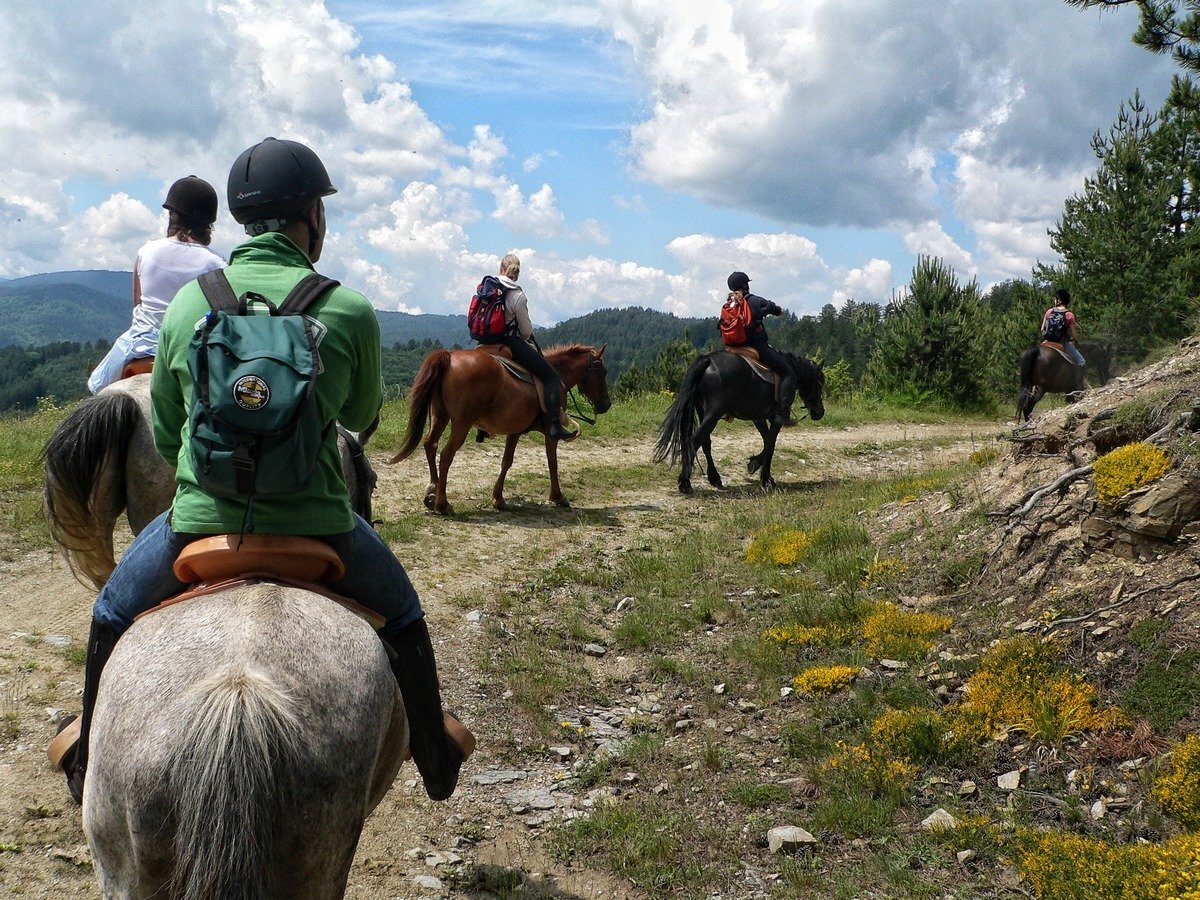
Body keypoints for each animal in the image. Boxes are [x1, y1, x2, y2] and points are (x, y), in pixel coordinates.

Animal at [388, 345, 609, 513]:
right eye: (602, 372)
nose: (606, 405)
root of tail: (449, 356)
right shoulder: (551, 431)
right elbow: (552, 462)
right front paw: (558, 496)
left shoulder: (515, 431)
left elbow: (506, 461)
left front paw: (498, 498)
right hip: (461, 423)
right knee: (446, 455)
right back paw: (443, 504)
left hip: (440, 416)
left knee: (430, 445)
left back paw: (432, 492)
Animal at [657, 350, 825, 494]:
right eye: (820, 382)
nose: (820, 412)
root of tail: (707, 359)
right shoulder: (776, 418)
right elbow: (771, 443)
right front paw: (766, 478)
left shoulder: (759, 417)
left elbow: (767, 441)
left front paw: (755, 463)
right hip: (713, 414)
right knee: (695, 440)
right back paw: (685, 482)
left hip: (702, 410)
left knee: (705, 442)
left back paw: (714, 478)